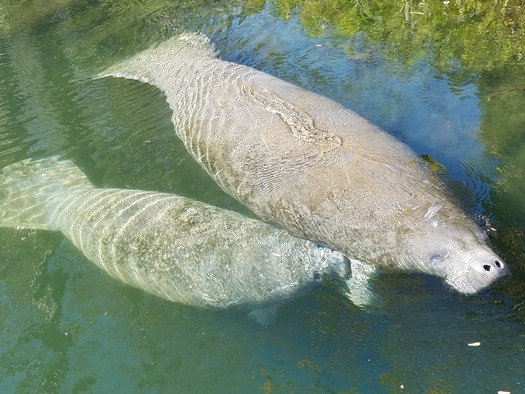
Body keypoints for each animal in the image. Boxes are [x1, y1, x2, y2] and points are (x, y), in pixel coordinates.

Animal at [97, 33, 504, 302]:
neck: (416, 218)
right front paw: (364, 301)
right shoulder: (362, 250)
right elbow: (360, 278)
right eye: (436, 258)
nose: (491, 267)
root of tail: (179, 62)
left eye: (481, 238)